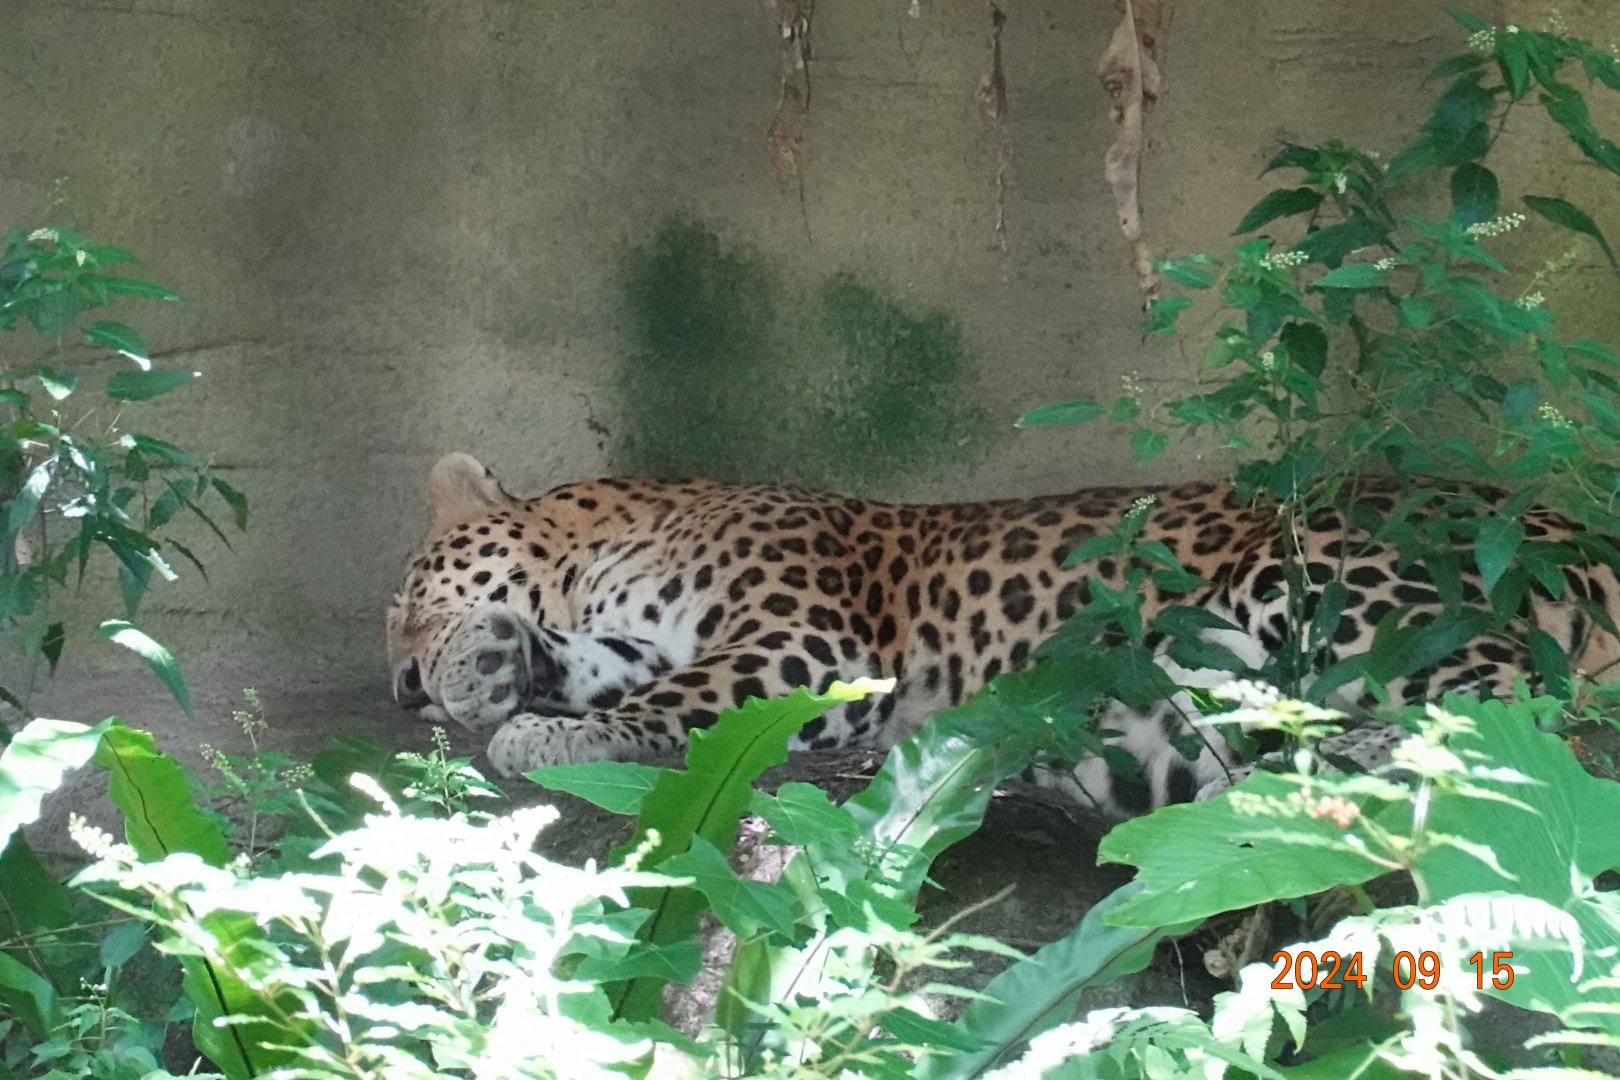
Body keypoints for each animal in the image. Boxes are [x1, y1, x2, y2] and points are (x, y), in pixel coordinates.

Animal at [386, 452, 1620, 816]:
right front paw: (492, 667)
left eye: (399, 596)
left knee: (1526, 710)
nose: (400, 685)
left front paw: (534, 732)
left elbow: (676, 703)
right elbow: (592, 668)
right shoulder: (642, 639)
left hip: (1320, 574)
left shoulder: (807, 645)